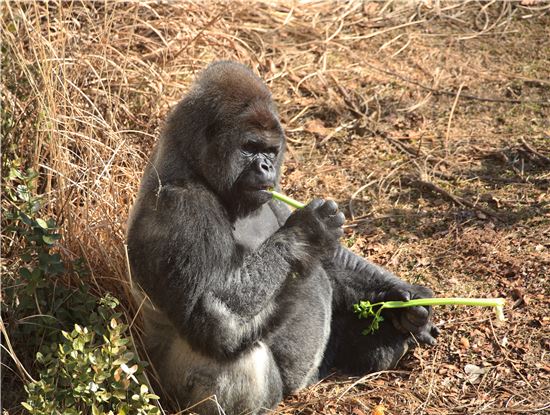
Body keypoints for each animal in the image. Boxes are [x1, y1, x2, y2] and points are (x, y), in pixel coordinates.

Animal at [126, 60, 440, 414]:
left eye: (270, 151)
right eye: (249, 148)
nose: (265, 167)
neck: (194, 164)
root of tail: (308, 383)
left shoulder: (273, 194)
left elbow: (330, 261)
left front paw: (406, 298)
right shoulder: (182, 204)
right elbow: (209, 311)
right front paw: (310, 228)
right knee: (233, 349)